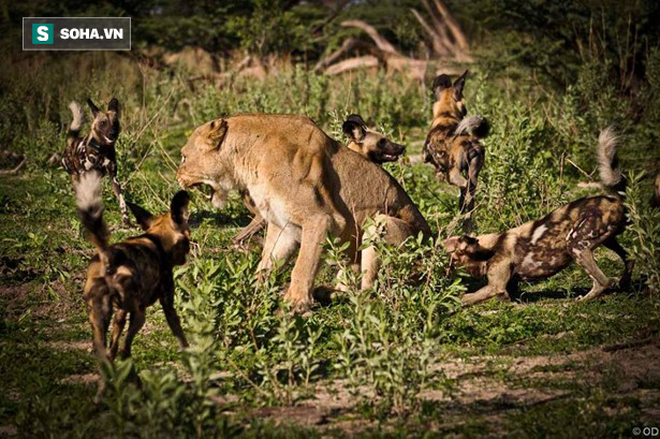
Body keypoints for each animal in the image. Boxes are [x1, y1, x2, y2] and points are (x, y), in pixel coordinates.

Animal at [62, 97, 130, 225]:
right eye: (103, 123)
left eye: (115, 122)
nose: (112, 133)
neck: (102, 149)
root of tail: (71, 143)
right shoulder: (85, 176)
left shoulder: (114, 179)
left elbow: (122, 200)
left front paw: (126, 219)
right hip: (77, 179)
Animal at [77, 171, 192, 402]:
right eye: (187, 238)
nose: (188, 253)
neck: (156, 239)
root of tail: (108, 256)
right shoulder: (168, 305)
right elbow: (181, 338)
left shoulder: (120, 313)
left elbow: (112, 351)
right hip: (139, 315)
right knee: (125, 351)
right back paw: (138, 389)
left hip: (101, 318)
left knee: (107, 354)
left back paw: (104, 394)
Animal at [444, 127, 636, 306]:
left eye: (444, 252)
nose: (431, 256)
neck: (487, 249)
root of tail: (615, 200)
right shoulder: (507, 290)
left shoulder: (496, 287)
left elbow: (464, 298)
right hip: (607, 241)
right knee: (629, 259)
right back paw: (623, 283)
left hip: (575, 244)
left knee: (603, 281)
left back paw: (582, 300)